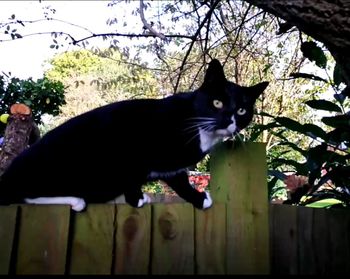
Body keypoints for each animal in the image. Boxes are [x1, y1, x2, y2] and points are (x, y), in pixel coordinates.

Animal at [0, 59, 268, 212]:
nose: (229, 120)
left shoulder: (171, 165)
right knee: (20, 196)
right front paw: (136, 198)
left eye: (242, 110)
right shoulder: (128, 142)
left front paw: (197, 198)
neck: (200, 129)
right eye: (217, 102)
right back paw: (76, 200)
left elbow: (179, 180)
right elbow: (131, 172)